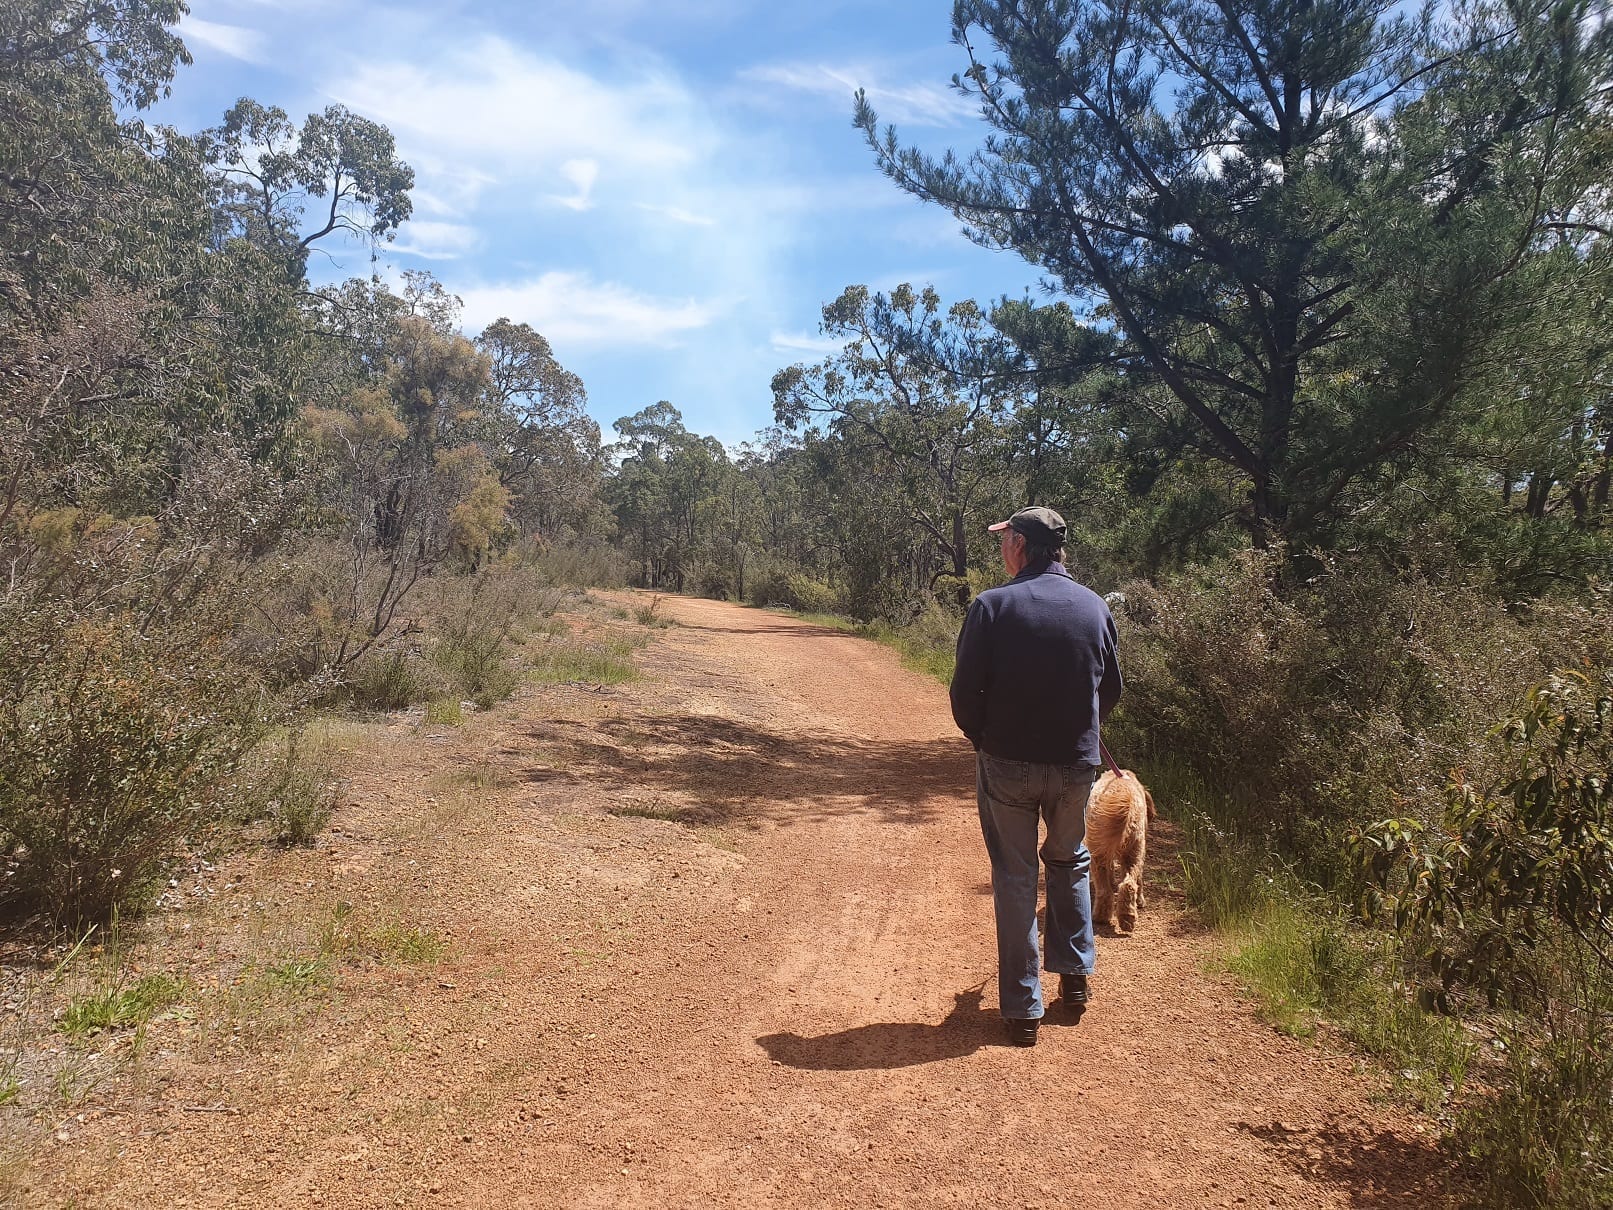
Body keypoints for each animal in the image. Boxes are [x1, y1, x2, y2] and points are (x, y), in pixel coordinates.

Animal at [1090, 771, 1154, 935]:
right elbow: (1139, 880)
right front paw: (1140, 901)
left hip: (1099, 854)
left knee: (1104, 889)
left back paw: (1101, 917)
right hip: (1134, 851)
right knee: (1129, 883)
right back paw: (1127, 918)